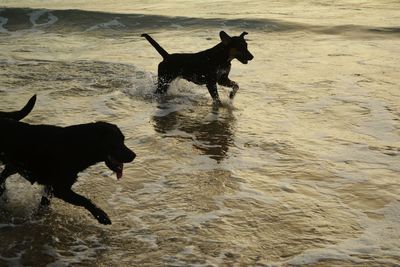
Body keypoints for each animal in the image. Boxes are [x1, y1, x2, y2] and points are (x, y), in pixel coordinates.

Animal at [0, 97, 136, 225]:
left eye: (123, 139)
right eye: (116, 141)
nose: (134, 155)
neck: (78, 146)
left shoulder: (51, 187)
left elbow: (44, 203)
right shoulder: (60, 188)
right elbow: (84, 200)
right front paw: (101, 216)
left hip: (14, 165)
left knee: (3, 175)